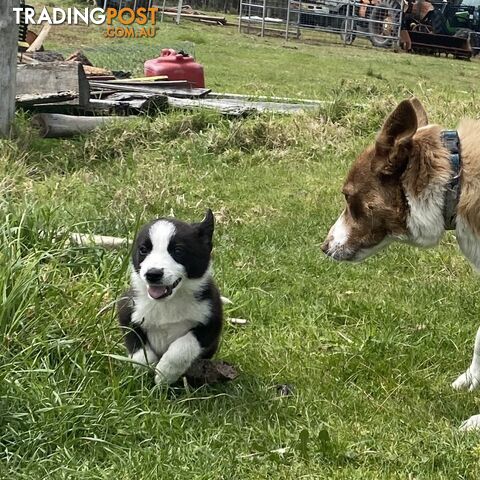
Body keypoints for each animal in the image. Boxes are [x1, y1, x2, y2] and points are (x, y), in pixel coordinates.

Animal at [116, 210, 223, 386]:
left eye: (178, 251)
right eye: (143, 249)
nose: (153, 274)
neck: (168, 302)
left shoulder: (212, 321)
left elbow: (183, 346)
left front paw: (165, 373)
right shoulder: (127, 308)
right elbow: (136, 342)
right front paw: (145, 369)